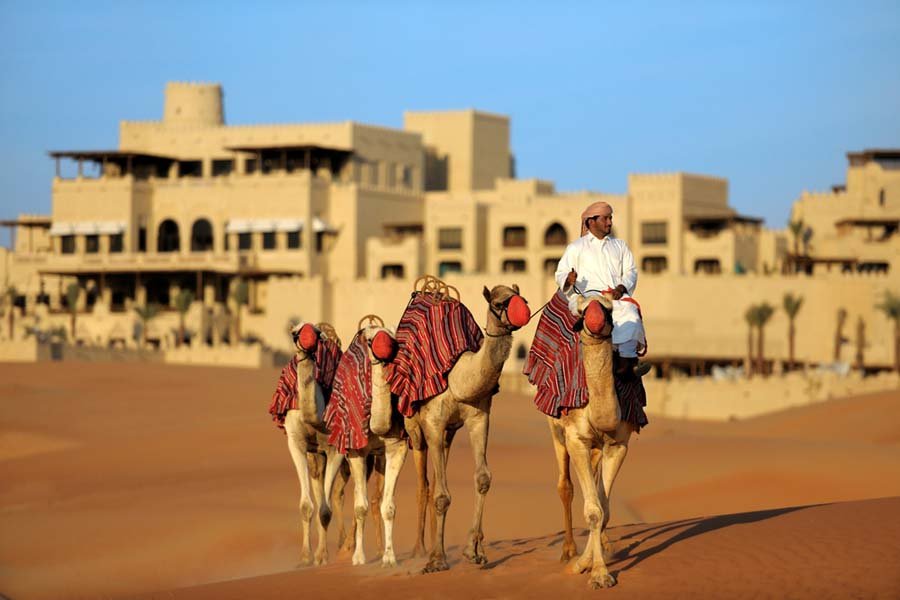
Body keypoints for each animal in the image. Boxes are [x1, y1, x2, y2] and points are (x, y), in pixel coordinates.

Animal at [282, 322, 352, 564]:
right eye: (295, 333)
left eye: (316, 333)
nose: (307, 341)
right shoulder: (296, 443)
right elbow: (307, 506)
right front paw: (305, 557)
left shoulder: (336, 450)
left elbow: (325, 510)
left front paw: (321, 557)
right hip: (316, 457)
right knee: (321, 486)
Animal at [324, 316, 408, 564]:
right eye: (370, 340)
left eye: (393, 336)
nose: (385, 350)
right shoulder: (356, 450)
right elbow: (359, 507)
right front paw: (358, 558)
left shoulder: (397, 446)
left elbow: (388, 506)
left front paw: (389, 557)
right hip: (338, 443)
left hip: (377, 457)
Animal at [404, 284, 532, 576]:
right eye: (498, 303)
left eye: (521, 297)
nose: (523, 312)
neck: (458, 379)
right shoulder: (433, 423)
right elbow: (441, 496)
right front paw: (437, 560)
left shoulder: (478, 418)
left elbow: (483, 478)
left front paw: (474, 551)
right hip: (413, 432)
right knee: (420, 484)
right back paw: (416, 552)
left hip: (447, 435)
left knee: (432, 481)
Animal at [544, 292, 636, 588]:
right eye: (583, 311)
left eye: (608, 309)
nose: (595, 322)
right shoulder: (577, 440)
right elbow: (593, 510)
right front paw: (592, 570)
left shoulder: (618, 445)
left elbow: (603, 508)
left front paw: (594, 567)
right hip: (556, 431)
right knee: (565, 486)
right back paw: (567, 551)